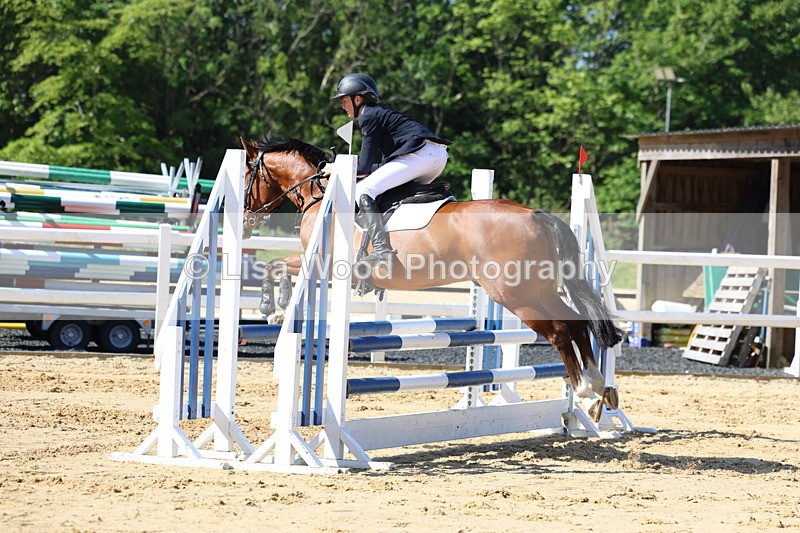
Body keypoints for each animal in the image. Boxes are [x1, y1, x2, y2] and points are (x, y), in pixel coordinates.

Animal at [240, 136, 623, 419]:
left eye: (247, 177)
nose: (245, 223)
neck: (322, 197)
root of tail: (535, 214)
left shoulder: (323, 265)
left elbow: (275, 266)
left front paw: (272, 307)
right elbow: (276, 265)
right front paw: (276, 307)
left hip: (514, 295)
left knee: (559, 332)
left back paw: (585, 393)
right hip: (538, 289)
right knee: (575, 323)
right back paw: (598, 389)